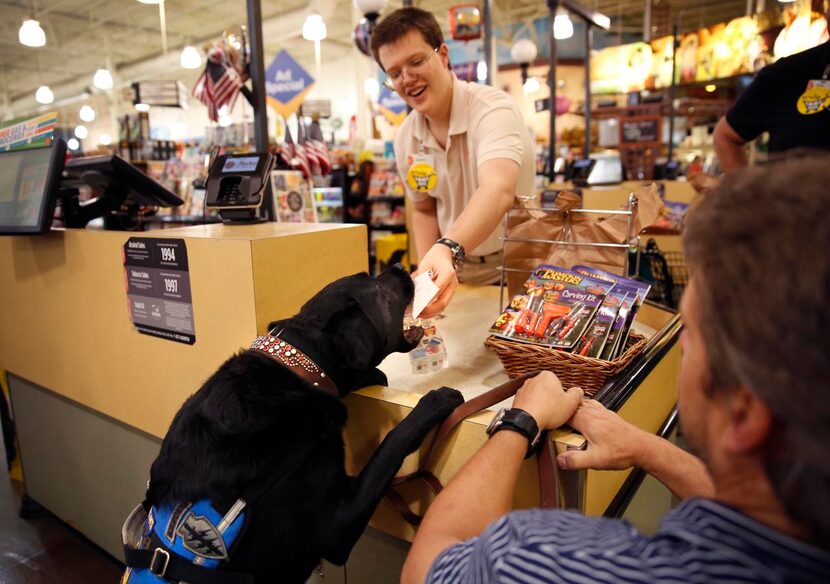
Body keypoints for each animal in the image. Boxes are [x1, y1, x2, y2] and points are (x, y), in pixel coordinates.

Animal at [122, 266, 464, 584]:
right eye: (377, 288)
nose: (402, 267)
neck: (297, 368)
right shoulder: (336, 526)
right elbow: (392, 442)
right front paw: (435, 402)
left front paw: (376, 376)